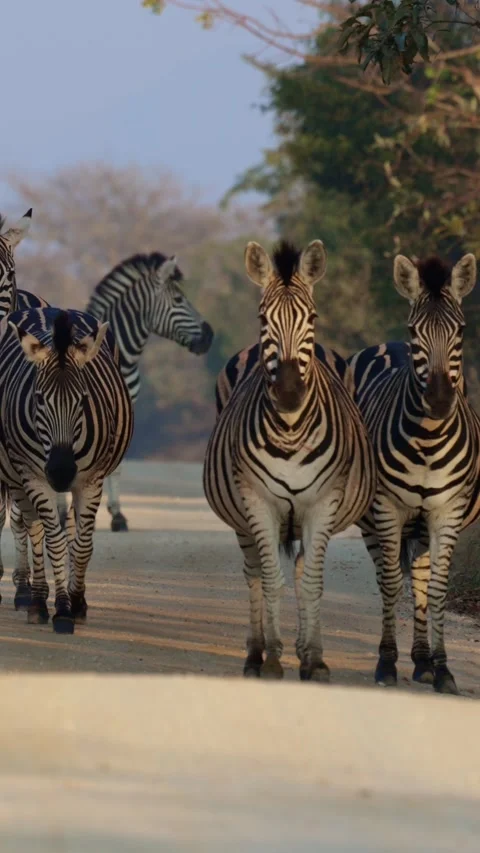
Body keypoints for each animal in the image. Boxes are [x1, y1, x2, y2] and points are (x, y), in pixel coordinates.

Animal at [0, 305, 133, 632]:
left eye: (84, 399)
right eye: (38, 399)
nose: (60, 472)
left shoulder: (91, 480)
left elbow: (82, 545)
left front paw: (77, 602)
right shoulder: (34, 477)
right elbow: (55, 542)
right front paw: (60, 609)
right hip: (19, 478)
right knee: (34, 529)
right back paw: (36, 601)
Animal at [203, 239, 376, 680]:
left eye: (312, 317)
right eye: (263, 318)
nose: (288, 392)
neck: (291, 429)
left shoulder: (323, 503)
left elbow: (311, 581)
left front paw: (313, 659)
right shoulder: (257, 501)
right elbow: (269, 578)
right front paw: (273, 659)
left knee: (299, 570)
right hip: (241, 514)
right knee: (253, 572)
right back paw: (255, 653)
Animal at [348, 253, 479, 695]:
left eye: (460, 329)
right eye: (413, 330)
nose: (439, 400)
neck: (429, 438)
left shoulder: (447, 512)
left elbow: (436, 588)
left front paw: (442, 669)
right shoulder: (387, 509)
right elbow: (390, 583)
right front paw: (386, 664)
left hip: (422, 525)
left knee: (420, 579)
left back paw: (422, 662)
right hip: (372, 520)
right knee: (385, 576)